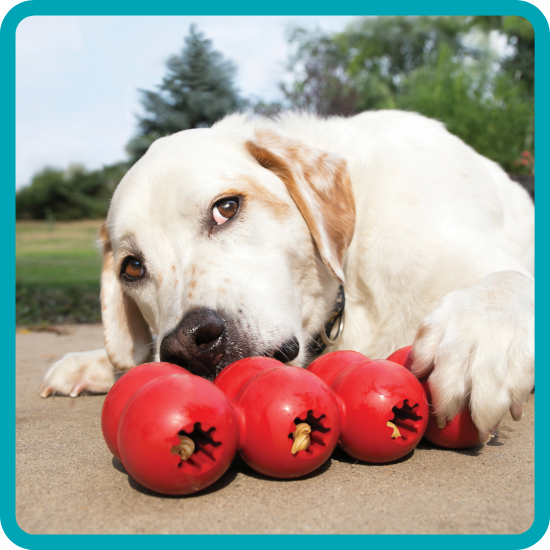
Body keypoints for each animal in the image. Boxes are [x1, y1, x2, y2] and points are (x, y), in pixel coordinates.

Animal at [41, 111, 536, 444]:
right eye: (133, 267)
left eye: (226, 207)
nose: (186, 344)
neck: (350, 284)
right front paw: (97, 362)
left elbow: (509, 281)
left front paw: (477, 339)